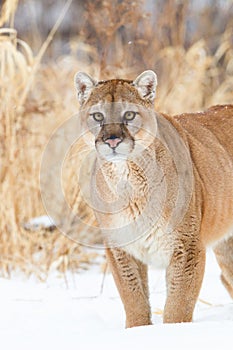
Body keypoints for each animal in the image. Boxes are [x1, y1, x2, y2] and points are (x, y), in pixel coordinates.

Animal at [74, 70, 233, 328]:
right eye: (97, 116)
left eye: (129, 114)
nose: (112, 140)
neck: (127, 182)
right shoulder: (121, 248)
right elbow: (134, 297)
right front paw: (137, 330)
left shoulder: (187, 245)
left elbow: (178, 306)